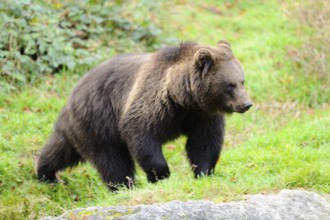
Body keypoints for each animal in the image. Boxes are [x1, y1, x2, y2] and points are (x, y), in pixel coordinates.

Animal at [36, 40, 253, 191]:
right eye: (229, 85)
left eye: (242, 81)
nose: (247, 104)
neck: (183, 99)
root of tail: (73, 93)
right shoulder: (152, 105)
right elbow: (141, 134)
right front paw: (161, 175)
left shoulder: (201, 116)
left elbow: (204, 144)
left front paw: (204, 172)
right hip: (99, 119)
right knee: (111, 161)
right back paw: (124, 186)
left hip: (84, 126)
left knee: (61, 149)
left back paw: (45, 173)